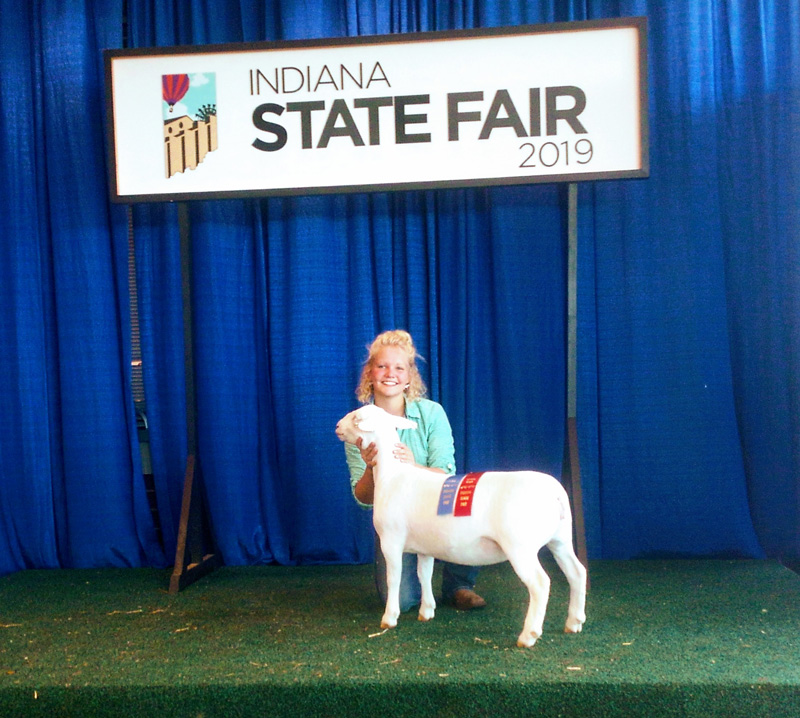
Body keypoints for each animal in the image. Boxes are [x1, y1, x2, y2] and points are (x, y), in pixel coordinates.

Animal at [334, 404, 584, 652]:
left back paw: (528, 635)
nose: (337, 426)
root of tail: (556, 492)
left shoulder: (391, 541)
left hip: (520, 546)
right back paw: (574, 622)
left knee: (540, 584)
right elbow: (424, 574)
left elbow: (393, 578)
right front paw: (427, 611)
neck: (392, 476)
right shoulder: (425, 548)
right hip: (560, 539)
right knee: (577, 572)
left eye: (357, 419)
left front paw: (389, 618)